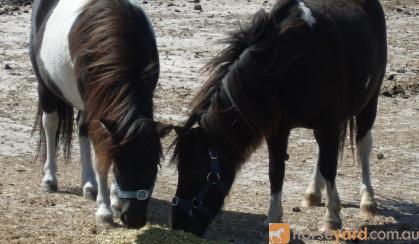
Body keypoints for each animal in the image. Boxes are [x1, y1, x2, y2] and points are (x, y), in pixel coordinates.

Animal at [29, 0, 171, 229]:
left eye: (155, 166)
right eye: (121, 166)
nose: (134, 219)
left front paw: (114, 201)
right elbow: (101, 157)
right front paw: (104, 212)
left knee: (81, 129)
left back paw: (89, 185)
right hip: (46, 88)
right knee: (50, 124)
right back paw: (50, 179)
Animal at [170, 0, 388, 236]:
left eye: (196, 171)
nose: (178, 224)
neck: (292, 62)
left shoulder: (328, 123)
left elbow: (329, 166)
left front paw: (331, 218)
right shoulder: (278, 131)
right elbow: (276, 171)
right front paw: (273, 217)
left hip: (370, 100)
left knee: (362, 145)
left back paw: (367, 200)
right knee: (322, 151)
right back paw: (313, 193)